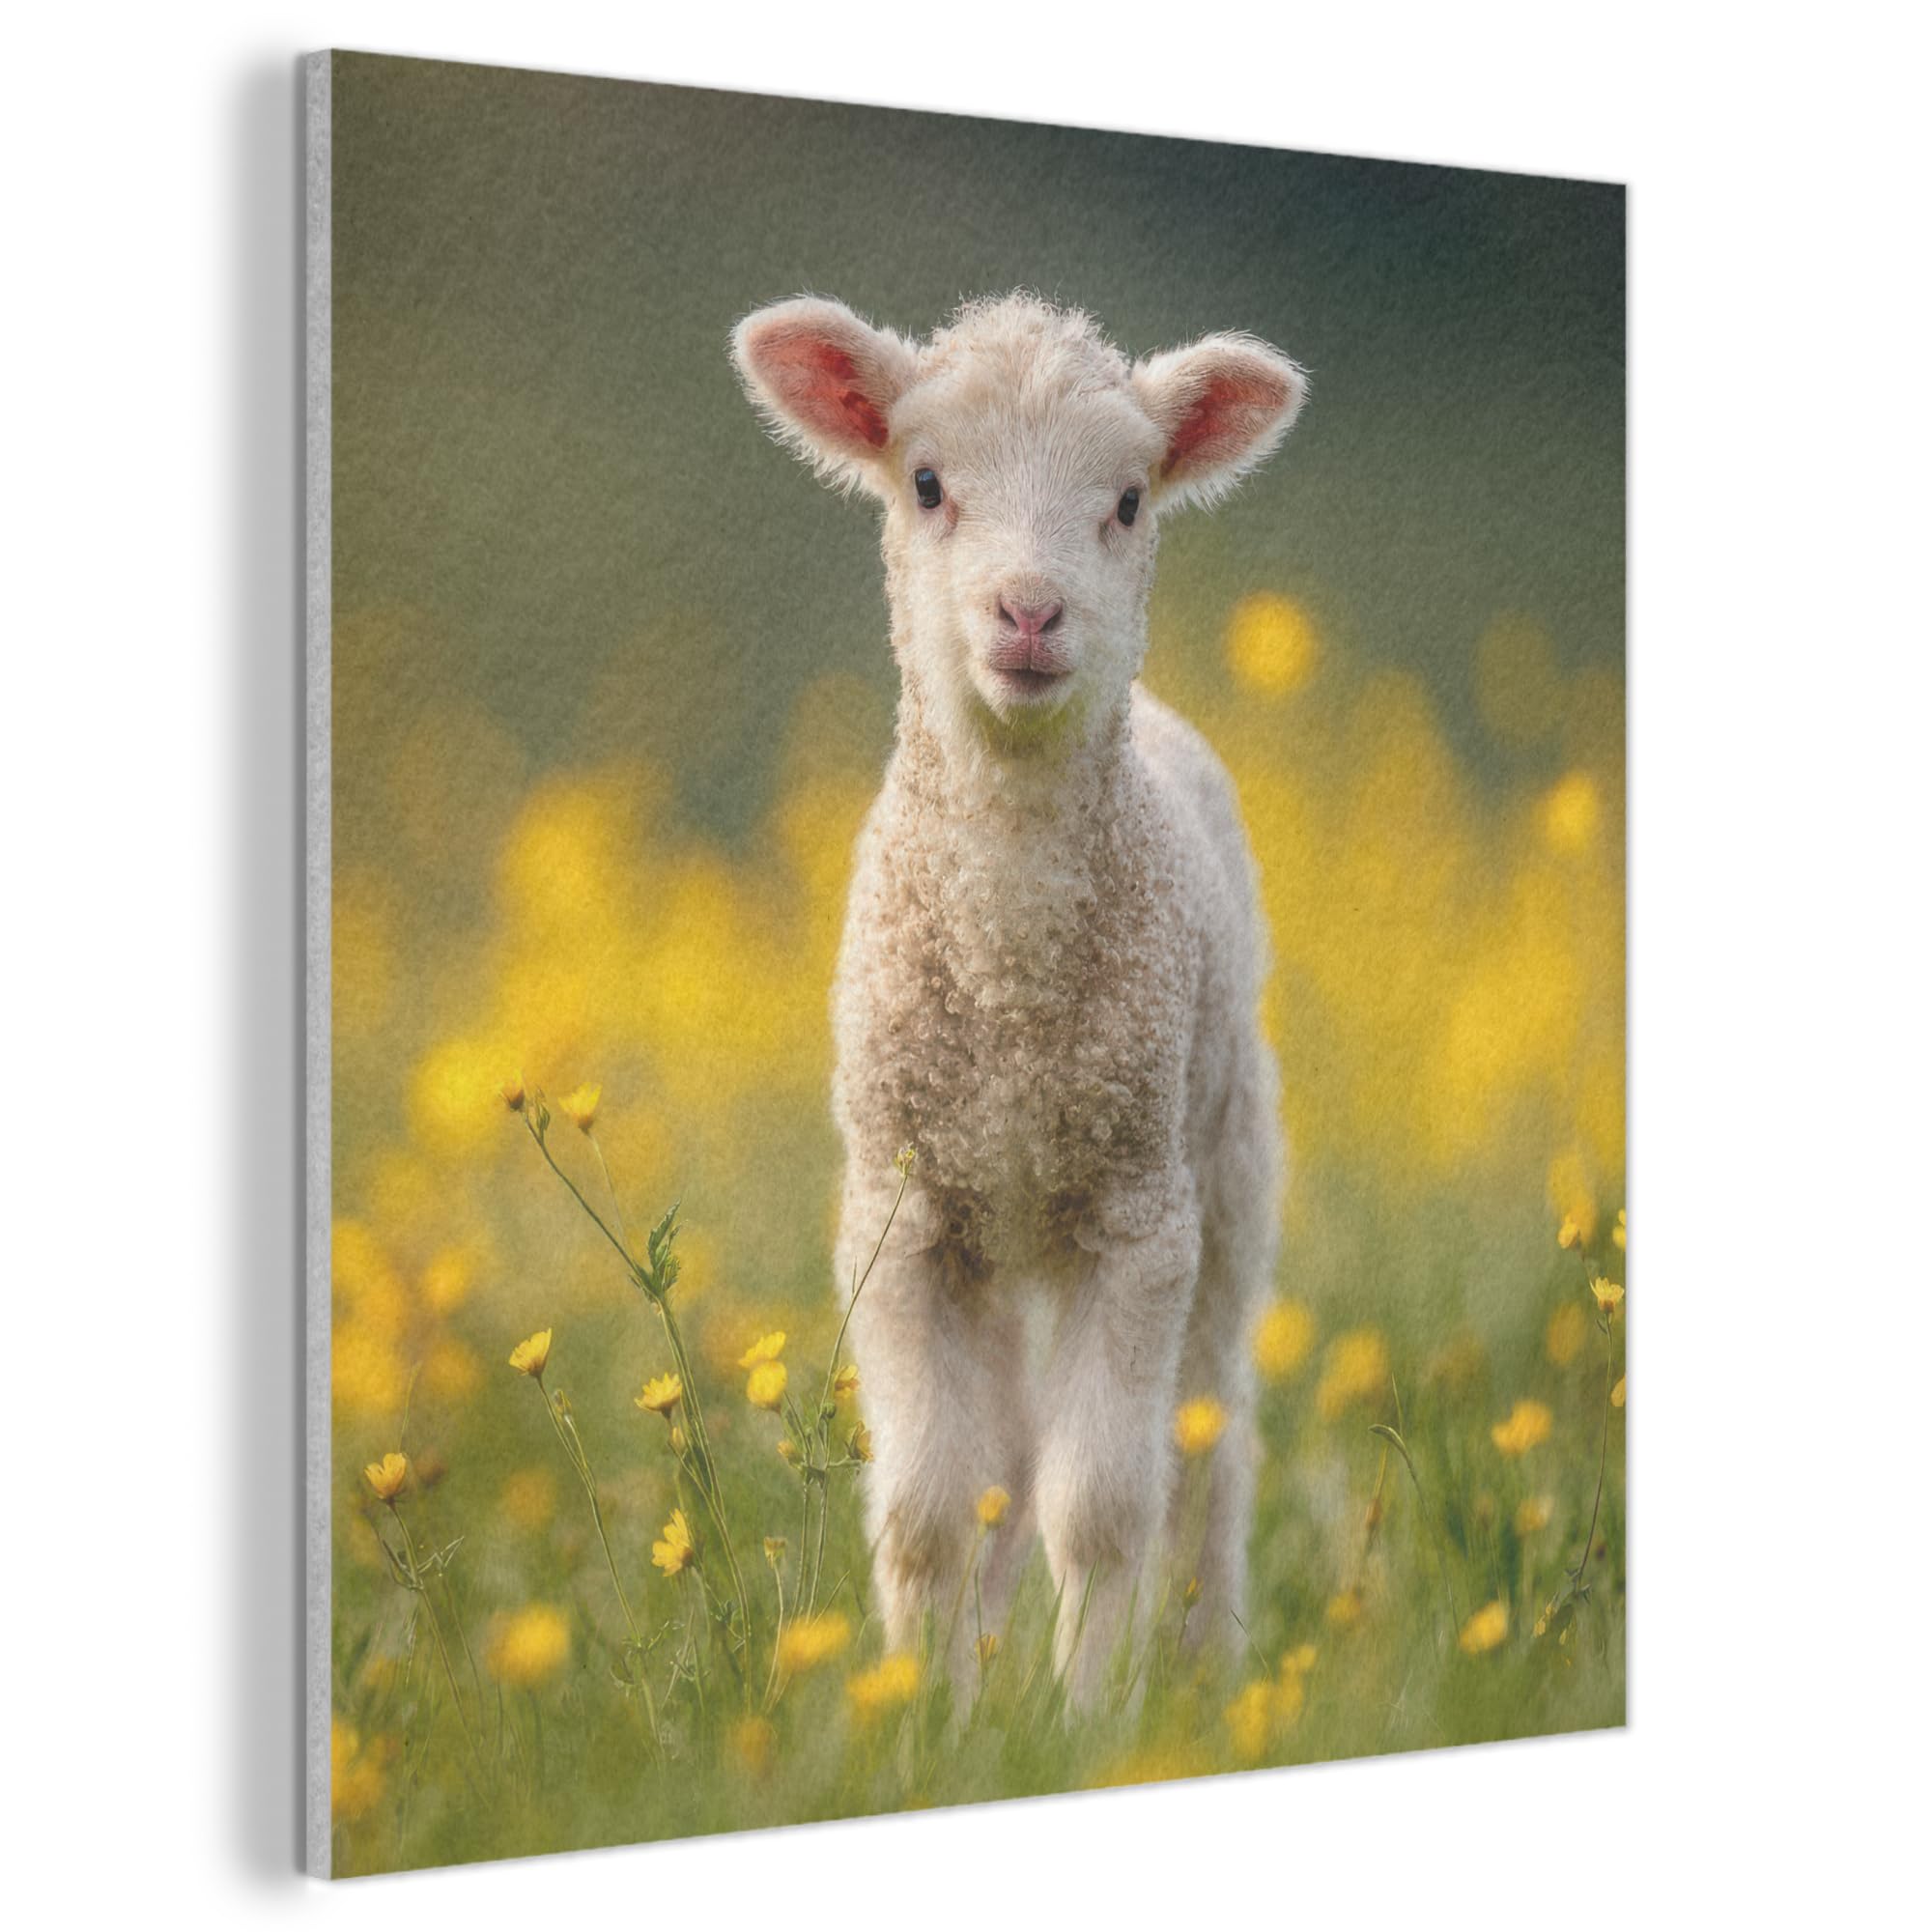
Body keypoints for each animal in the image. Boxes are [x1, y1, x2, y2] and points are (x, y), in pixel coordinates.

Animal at [731, 292, 1306, 1706]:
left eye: (1131, 498)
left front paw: (1091, 1717)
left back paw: (1205, 1677)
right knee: (1001, 1463)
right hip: (990, 1228)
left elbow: (1099, 1508)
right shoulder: (900, 1216)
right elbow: (932, 1509)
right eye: (928, 484)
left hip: (1225, 1163)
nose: (1030, 610)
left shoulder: (1139, 1217)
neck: (1012, 989)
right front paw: (925, 1713)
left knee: (1206, 1451)